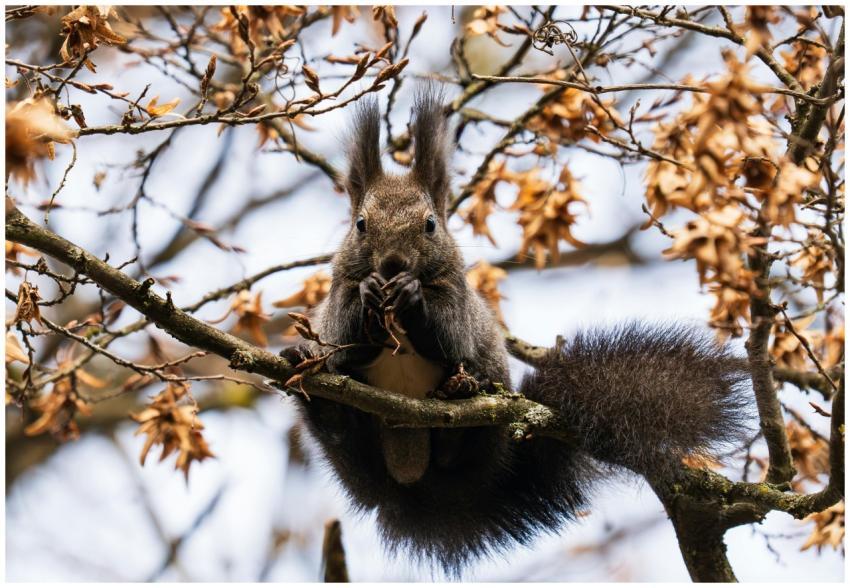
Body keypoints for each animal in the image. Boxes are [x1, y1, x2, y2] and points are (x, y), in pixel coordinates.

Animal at [282, 88, 752, 574]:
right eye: (360, 224)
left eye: (431, 224)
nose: (393, 264)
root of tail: (415, 480)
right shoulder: (335, 302)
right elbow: (343, 344)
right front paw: (370, 293)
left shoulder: (460, 301)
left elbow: (450, 338)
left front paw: (411, 296)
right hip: (353, 446)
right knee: (340, 430)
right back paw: (315, 389)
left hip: (485, 415)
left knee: (459, 443)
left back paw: (458, 400)